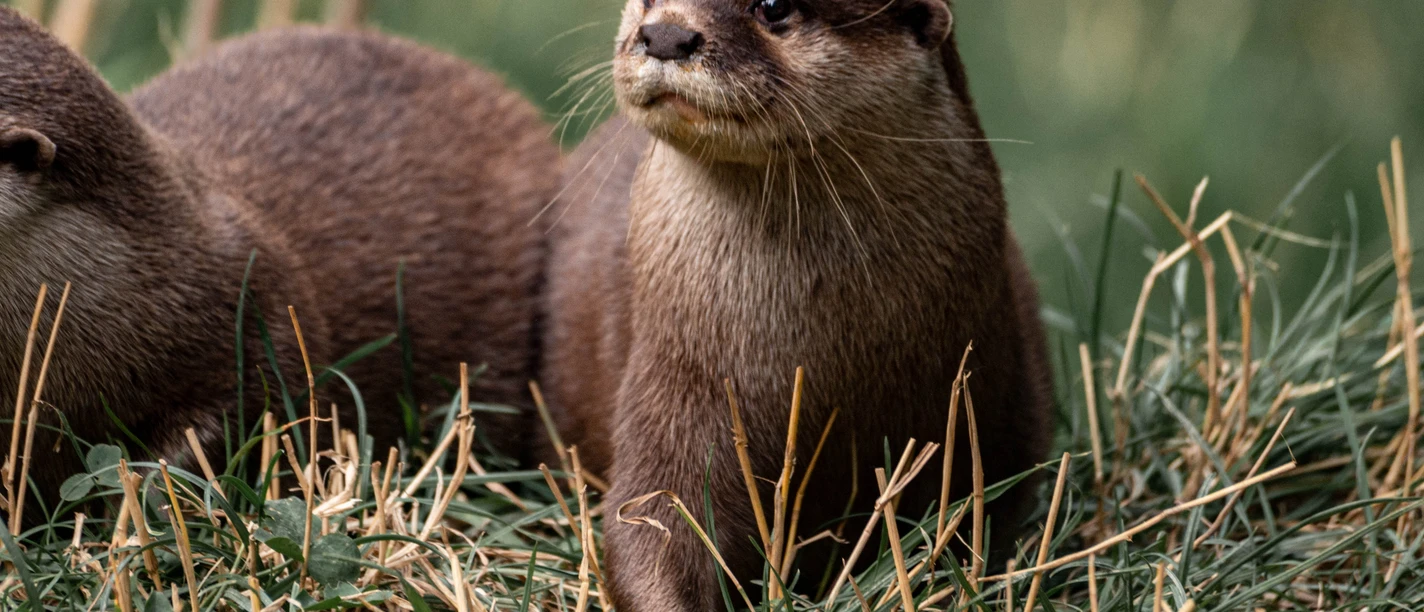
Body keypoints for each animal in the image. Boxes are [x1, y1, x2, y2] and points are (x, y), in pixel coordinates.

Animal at [542, 0, 1052, 609]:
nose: (665, 34)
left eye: (773, 8)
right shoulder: (675, 387)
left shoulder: (988, 406)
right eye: (644, 2)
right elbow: (649, 525)